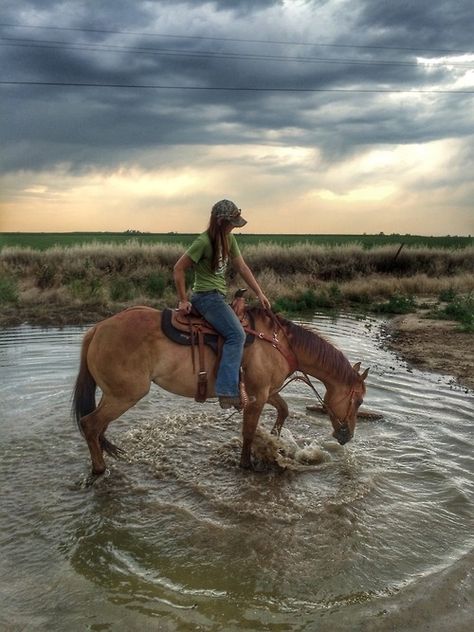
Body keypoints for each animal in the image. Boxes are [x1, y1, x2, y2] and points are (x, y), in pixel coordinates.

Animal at [73, 304, 370, 476]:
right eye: (358, 401)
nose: (347, 436)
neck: (279, 343)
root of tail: (97, 330)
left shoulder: (267, 391)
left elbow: (284, 410)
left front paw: (275, 441)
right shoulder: (257, 397)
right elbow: (248, 431)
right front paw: (247, 464)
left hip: (115, 396)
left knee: (97, 429)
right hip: (124, 395)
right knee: (90, 424)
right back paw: (99, 470)